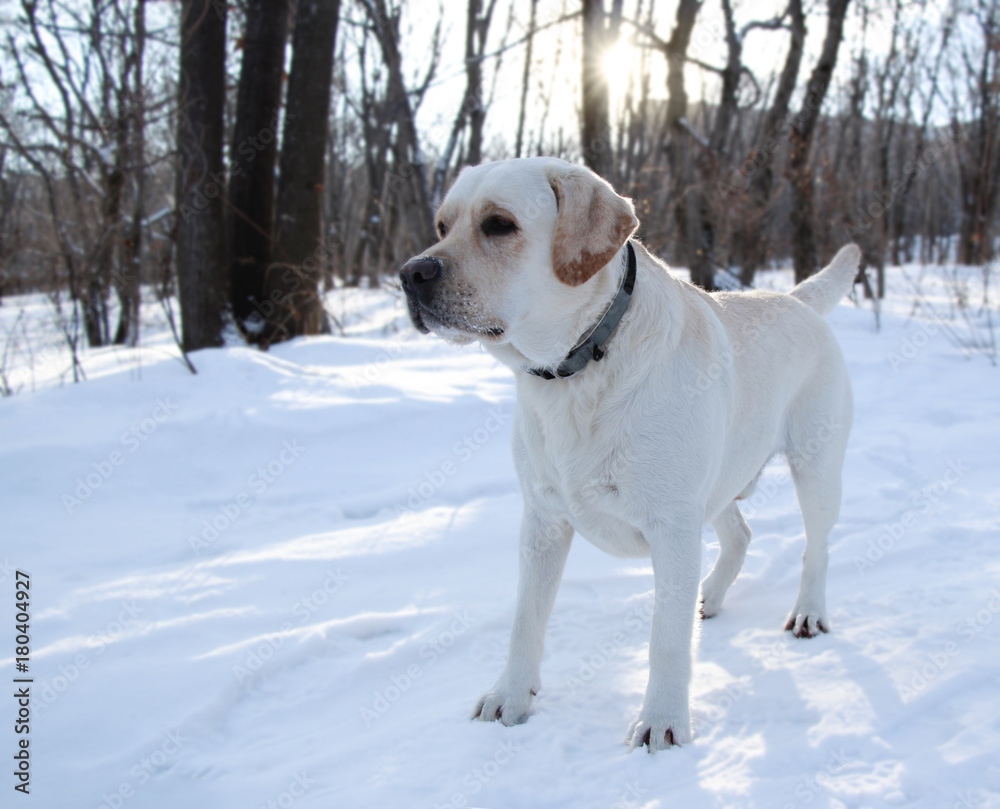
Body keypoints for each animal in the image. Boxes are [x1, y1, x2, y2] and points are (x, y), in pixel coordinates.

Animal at [398, 158, 860, 752]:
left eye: (499, 225)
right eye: (442, 225)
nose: (411, 273)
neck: (579, 367)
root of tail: (797, 299)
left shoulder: (672, 526)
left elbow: (666, 640)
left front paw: (662, 722)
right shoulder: (543, 521)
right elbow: (526, 620)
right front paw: (510, 697)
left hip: (815, 467)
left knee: (816, 548)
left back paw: (807, 613)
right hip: (718, 480)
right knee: (740, 533)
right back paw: (710, 596)